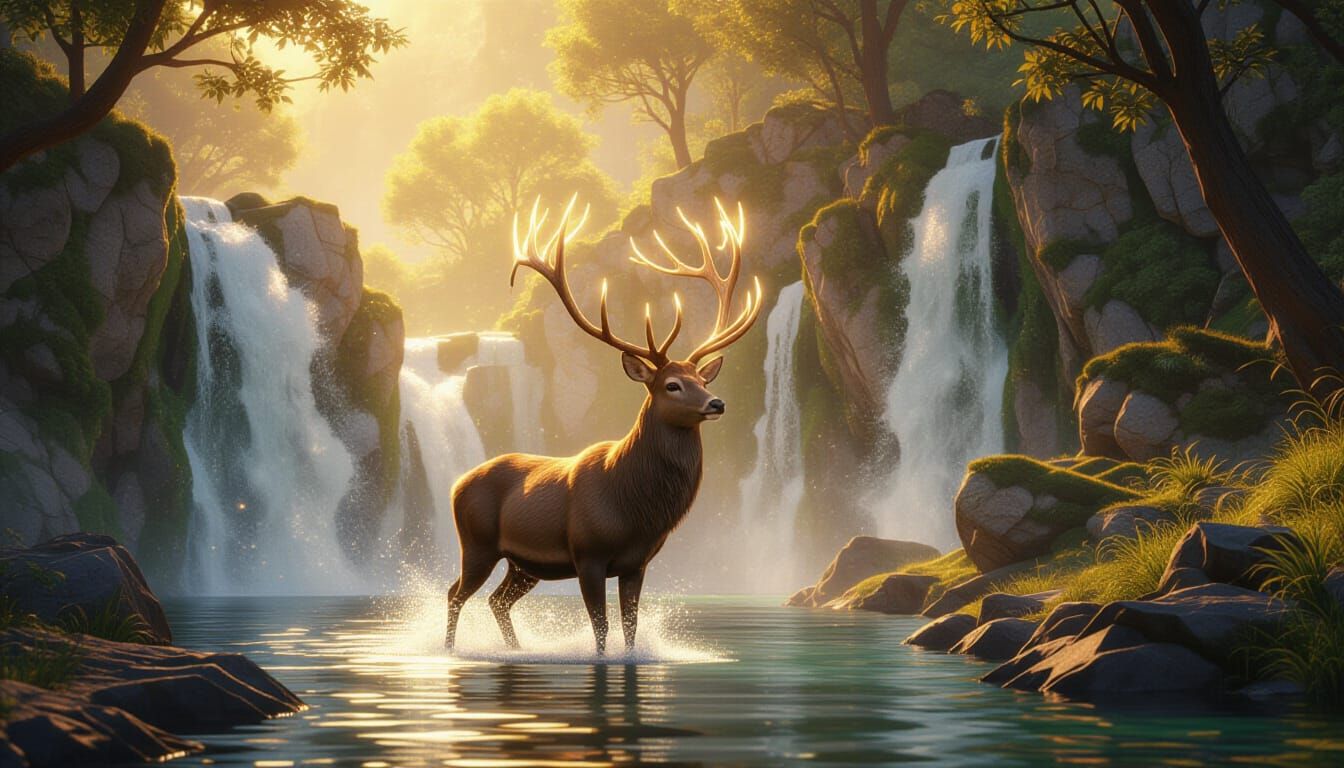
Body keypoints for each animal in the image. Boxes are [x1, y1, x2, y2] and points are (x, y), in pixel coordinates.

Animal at [444, 197, 763, 656]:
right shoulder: (588, 554)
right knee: (455, 593)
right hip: (477, 543)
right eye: (672, 384)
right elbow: (601, 625)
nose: (717, 403)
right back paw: (449, 650)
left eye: (703, 381)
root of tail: (456, 484)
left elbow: (630, 625)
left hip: (525, 564)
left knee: (496, 600)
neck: (633, 504)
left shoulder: (636, 562)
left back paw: (516, 651)